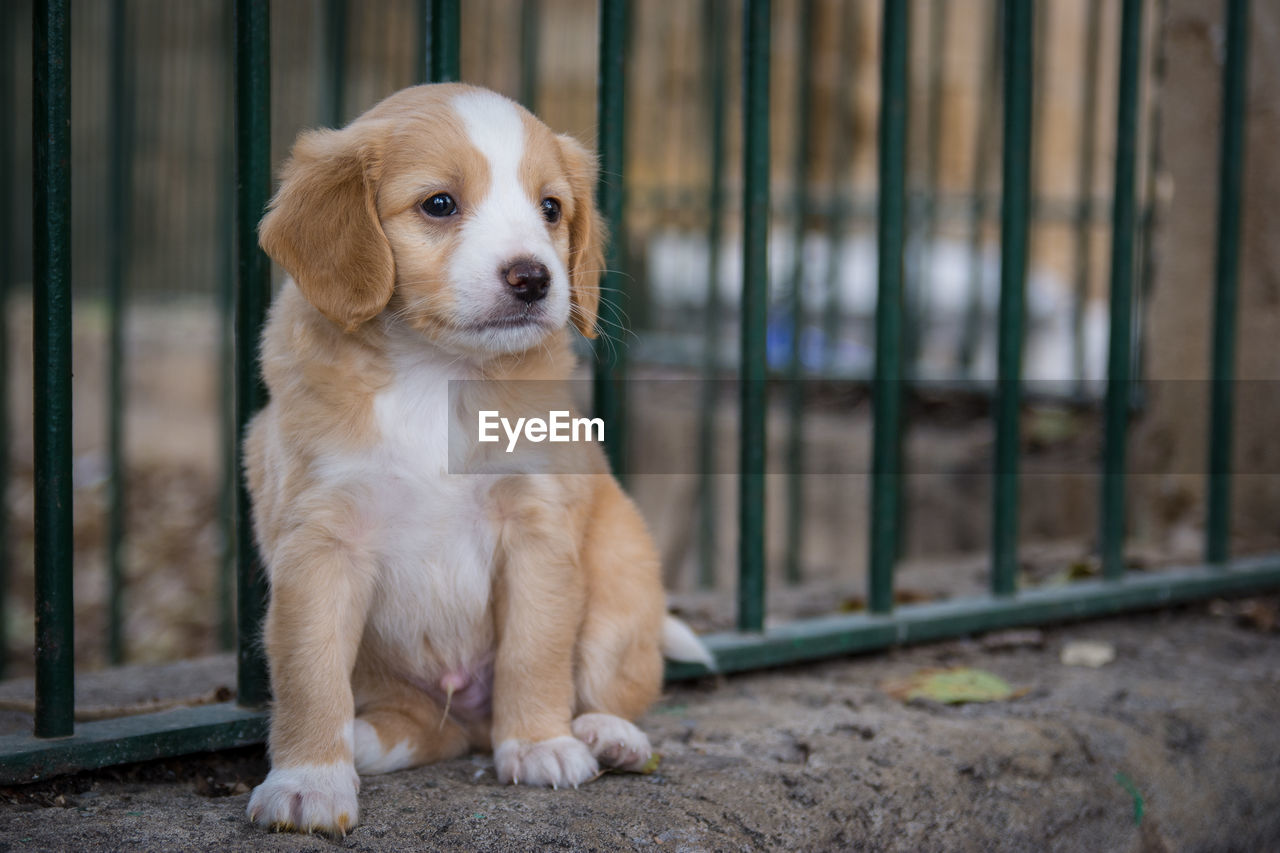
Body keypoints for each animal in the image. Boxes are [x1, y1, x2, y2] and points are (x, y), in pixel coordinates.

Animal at [241, 84, 711, 829]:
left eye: (551, 208)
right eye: (439, 204)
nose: (533, 278)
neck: (437, 374)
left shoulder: (535, 528)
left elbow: (534, 651)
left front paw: (541, 743)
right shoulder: (320, 542)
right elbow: (310, 672)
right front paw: (308, 781)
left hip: (619, 582)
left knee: (605, 686)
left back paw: (606, 735)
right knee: (431, 728)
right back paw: (367, 739)